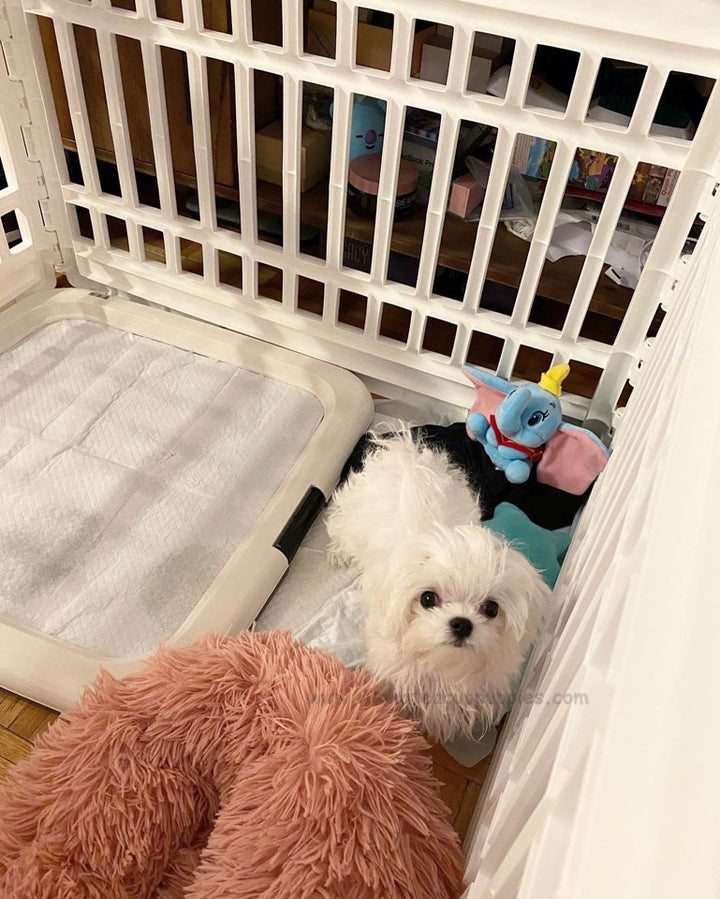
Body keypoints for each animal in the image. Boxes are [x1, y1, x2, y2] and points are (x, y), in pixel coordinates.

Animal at [330, 432, 556, 740]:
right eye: (427, 599)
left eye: (491, 608)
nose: (461, 623)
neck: (443, 667)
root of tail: (404, 450)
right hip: (352, 517)